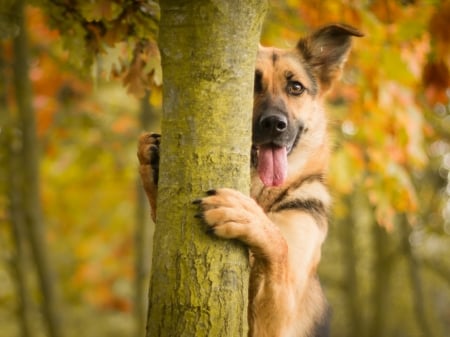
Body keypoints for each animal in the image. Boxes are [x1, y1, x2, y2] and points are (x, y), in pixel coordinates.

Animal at [137, 23, 362, 336]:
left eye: (296, 88)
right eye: (252, 85)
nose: (275, 124)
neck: (261, 193)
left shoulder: (278, 320)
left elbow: (279, 245)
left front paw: (244, 214)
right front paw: (151, 161)